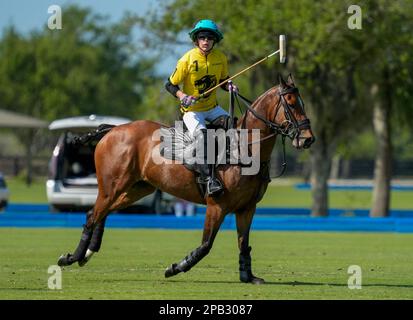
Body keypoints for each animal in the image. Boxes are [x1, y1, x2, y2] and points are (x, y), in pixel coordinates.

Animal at [58, 74, 314, 284]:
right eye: (291, 103)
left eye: (301, 102)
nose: (308, 138)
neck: (245, 148)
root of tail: (112, 130)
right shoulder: (216, 206)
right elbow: (206, 245)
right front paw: (175, 267)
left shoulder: (247, 208)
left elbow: (243, 244)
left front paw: (248, 276)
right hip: (112, 186)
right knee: (92, 215)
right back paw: (72, 257)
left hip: (138, 188)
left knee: (102, 213)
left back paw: (87, 254)